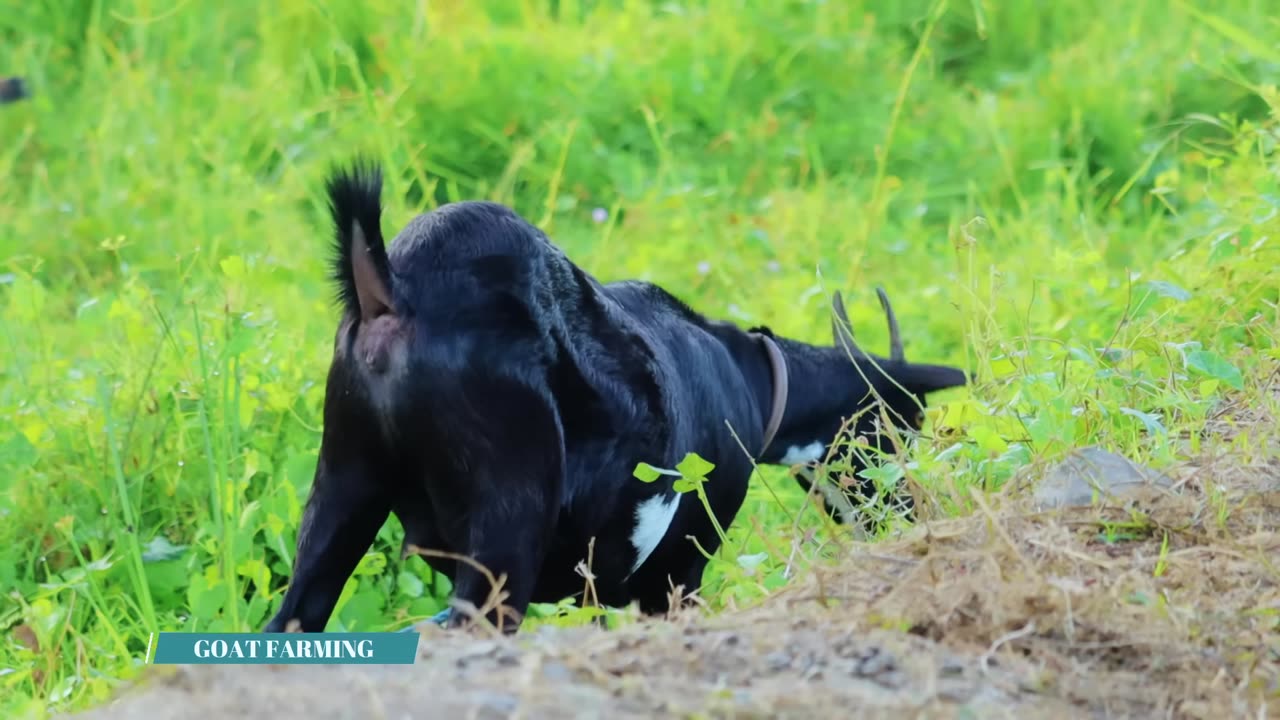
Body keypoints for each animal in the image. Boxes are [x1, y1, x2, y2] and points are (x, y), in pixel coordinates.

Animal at [262, 159, 962, 630]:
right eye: (898, 427)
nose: (914, 517)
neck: (750, 377)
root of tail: (391, 288)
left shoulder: (595, 586)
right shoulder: (679, 571)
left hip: (343, 482)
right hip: (504, 520)